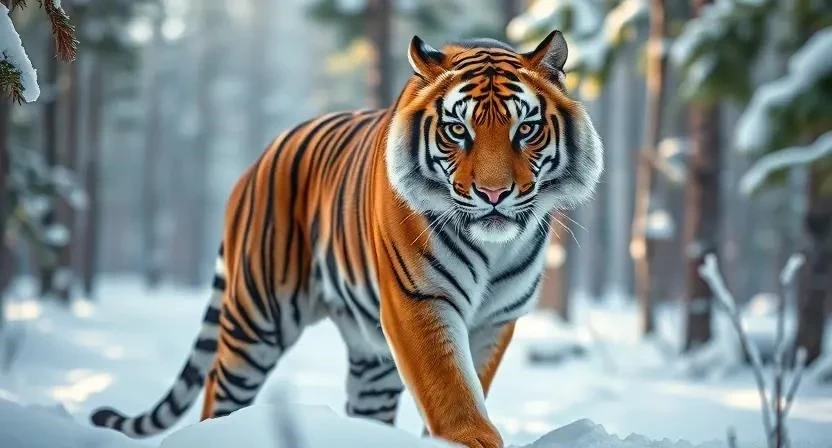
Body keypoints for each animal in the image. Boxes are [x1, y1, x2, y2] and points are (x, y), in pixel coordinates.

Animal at [90, 31, 603, 448]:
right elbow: (450, 389)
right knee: (219, 388)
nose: (494, 194)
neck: (495, 248)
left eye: (526, 129)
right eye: (458, 130)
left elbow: (470, 381)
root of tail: (256, 163)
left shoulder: (496, 319)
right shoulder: (419, 300)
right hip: (256, 318)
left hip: (370, 357)